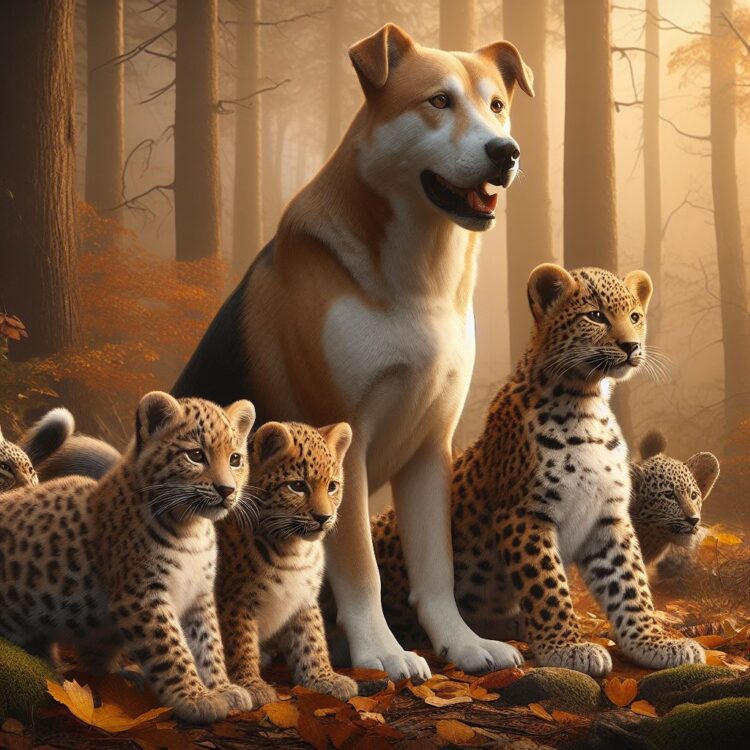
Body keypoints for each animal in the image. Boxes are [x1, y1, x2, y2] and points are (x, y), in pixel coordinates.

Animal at [0, 391, 258, 723]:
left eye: (235, 459)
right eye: (196, 455)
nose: (227, 490)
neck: (192, 529)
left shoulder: (198, 595)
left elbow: (208, 643)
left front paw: (222, 688)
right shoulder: (143, 594)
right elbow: (172, 648)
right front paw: (195, 699)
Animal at [217, 420, 358, 707]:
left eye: (332, 486)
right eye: (297, 486)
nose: (324, 517)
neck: (293, 549)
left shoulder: (303, 598)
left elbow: (312, 639)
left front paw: (325, 678)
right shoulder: (234, 601)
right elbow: (240, 644)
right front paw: (251, 685)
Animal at [371, 264, 704, 676]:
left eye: (635, 317)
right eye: (595, 316)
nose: (631, 346)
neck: (586, 402)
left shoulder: (607, 518)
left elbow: (630, 584)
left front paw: (653, 643)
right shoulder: (524, 514)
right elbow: (547, 586)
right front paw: (566, 649)